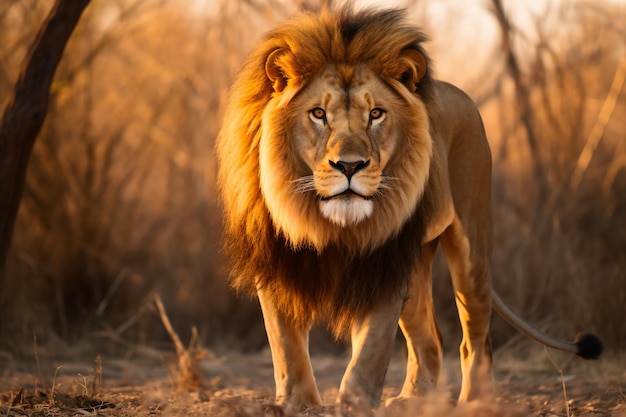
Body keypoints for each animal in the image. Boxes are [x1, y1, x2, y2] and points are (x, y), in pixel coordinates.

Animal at [214, 7, 600, 410]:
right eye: (318, 113)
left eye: (376, 114)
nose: (350, 166)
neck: (329, 224)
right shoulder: (274, 261)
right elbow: (286, 346)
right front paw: (297, 403)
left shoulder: (384, 262)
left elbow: (370, 349)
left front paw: (354, 404)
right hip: (416, 266)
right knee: (430, 339)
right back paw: (414, 400)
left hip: (470, 251)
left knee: (475, 339)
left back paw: (473, 403)